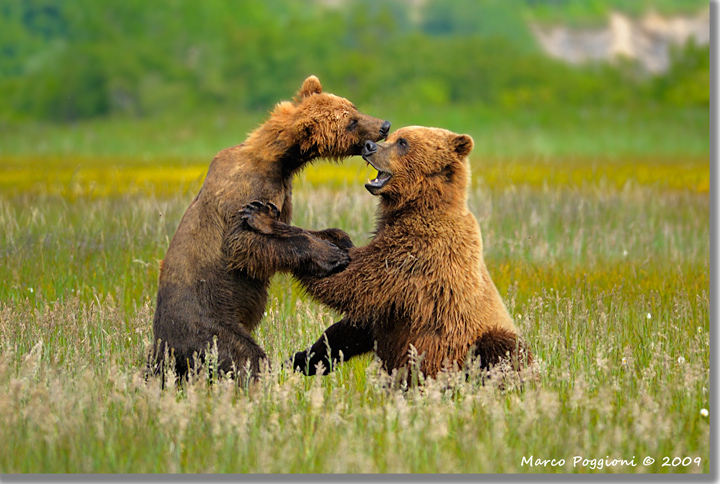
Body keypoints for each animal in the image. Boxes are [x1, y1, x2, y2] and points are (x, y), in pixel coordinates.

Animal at [150, 75, 391, 381]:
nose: (384, 125)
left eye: (354, 107)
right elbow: (245, 244)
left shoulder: (283, 193)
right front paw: (331, 256)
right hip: (208, 325)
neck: (280, 161)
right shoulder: (247, 193)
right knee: (243, 356)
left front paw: (339, 239)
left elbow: (291, 227)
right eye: (351, 121)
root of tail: (163, 347)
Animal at [240, 125, 531, 382]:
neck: (415, 206)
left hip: (476, 340)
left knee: (502, 349)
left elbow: (351, 283)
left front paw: (261, 216)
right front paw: (301, 358)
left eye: (403, 142)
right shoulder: (391, 285)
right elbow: (355, 319)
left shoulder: (416, 252)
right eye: (392, 136)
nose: (369, 146)